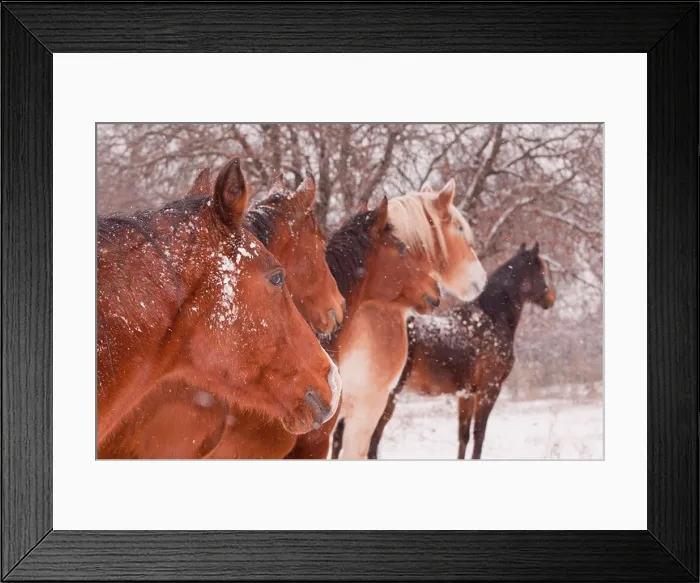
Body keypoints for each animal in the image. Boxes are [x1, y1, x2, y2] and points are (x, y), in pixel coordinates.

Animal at [366, 243, 556, 459]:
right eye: (542, 272)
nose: (551, 299)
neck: (492, 317)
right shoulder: (489, 390)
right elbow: (479, 434)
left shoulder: (466, 394)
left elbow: (463, 436)